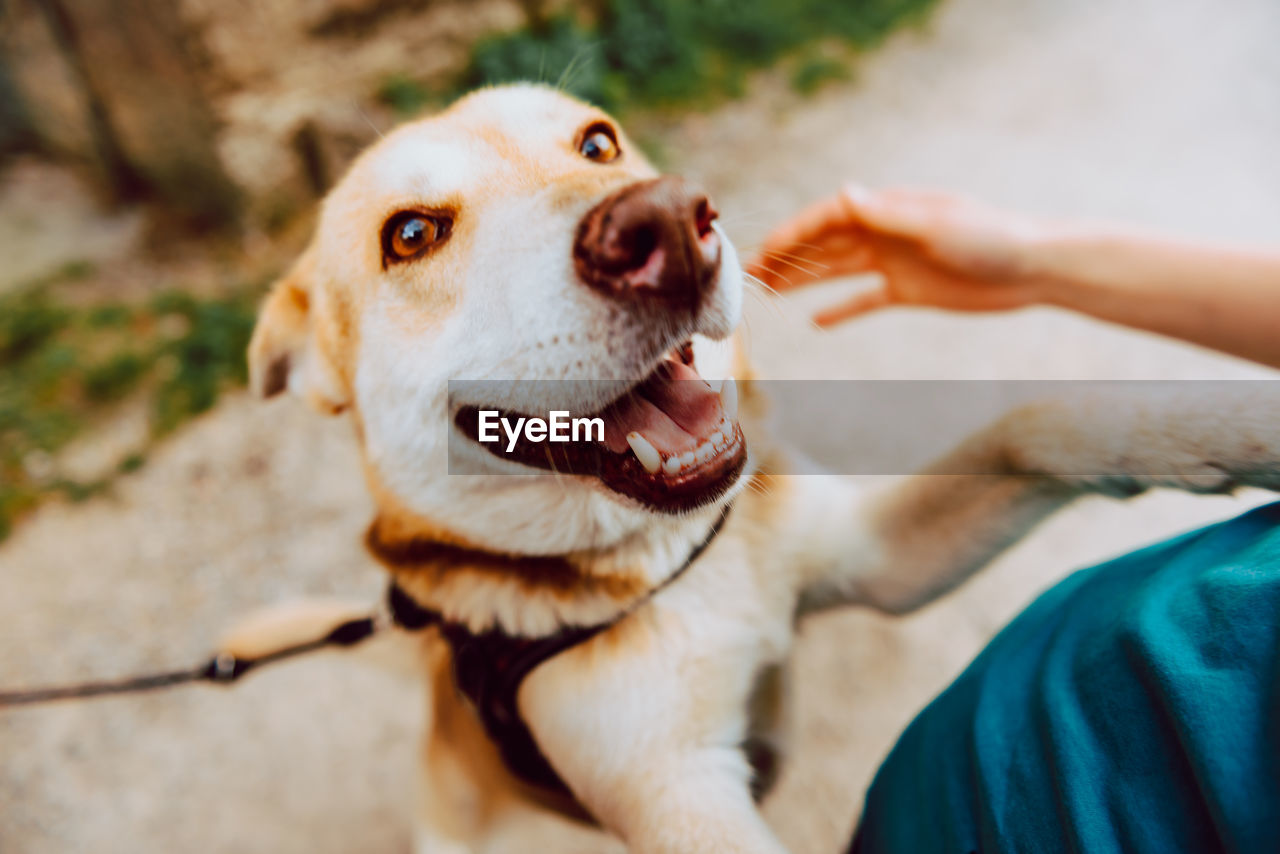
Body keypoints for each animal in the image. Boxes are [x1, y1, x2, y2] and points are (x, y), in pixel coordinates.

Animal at [232, 81, 1280, 854]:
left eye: (598, 143)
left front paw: (1227, 427)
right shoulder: (675, 790)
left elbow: (1038, 421)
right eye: (411, 235)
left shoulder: (874, 561)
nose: (666, 224)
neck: (671, 566)